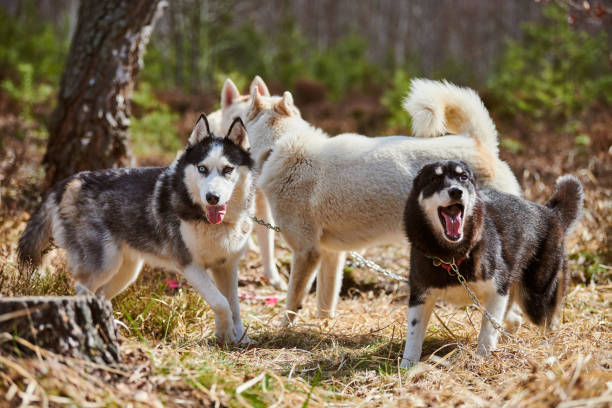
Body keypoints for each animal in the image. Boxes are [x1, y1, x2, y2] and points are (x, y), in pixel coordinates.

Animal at [19, 115, 253, 344]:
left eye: (228, 169)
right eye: (202, 168)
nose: (212, 197)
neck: (210, 221)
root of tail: (70, 181)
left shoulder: (226, 266)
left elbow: (233, 304)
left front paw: (237, 336)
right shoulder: (188, 264)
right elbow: (220, 302)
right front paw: (226, 334)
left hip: (127, 271)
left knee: (101, 296)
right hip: (105, 264)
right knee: (82, 291)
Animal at [402, 160, 584, 366]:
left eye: (463, 177)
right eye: (435, 179)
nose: (456, 191)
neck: (451, 255)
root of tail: (551, 213)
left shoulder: (498, 291)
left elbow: (488, 330)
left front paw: (482, 359)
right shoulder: (420, 296)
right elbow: (413, 336)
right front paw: (406, 366)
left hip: (536, 298)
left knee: (549, 322)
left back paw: (547, 348)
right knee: (516, 319)